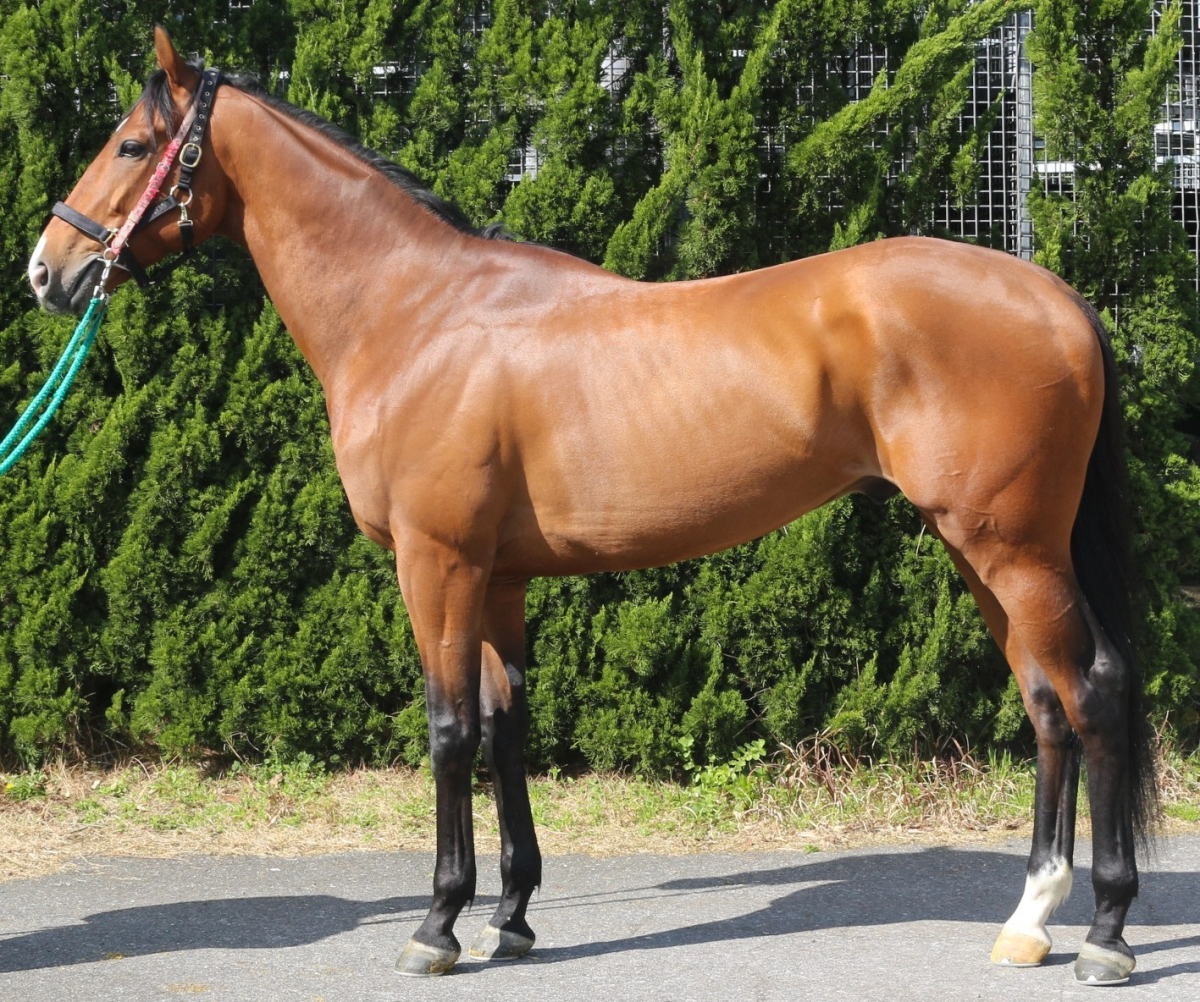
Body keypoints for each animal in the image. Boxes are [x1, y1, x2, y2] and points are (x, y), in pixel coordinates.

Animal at [27, 28, 1155, 985]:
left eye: (133, 143)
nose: (49, 270)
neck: (416, 313)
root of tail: (1055, 297)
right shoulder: (499, 577)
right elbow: (504, 726)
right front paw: (513, 918)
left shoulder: (435, 562)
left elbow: (447, 730)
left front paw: (437, 926)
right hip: (982, 551)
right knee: (1045, 704)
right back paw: (1028, 922)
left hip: (1013, 550)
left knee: (1092, 693)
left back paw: (1105, 932)